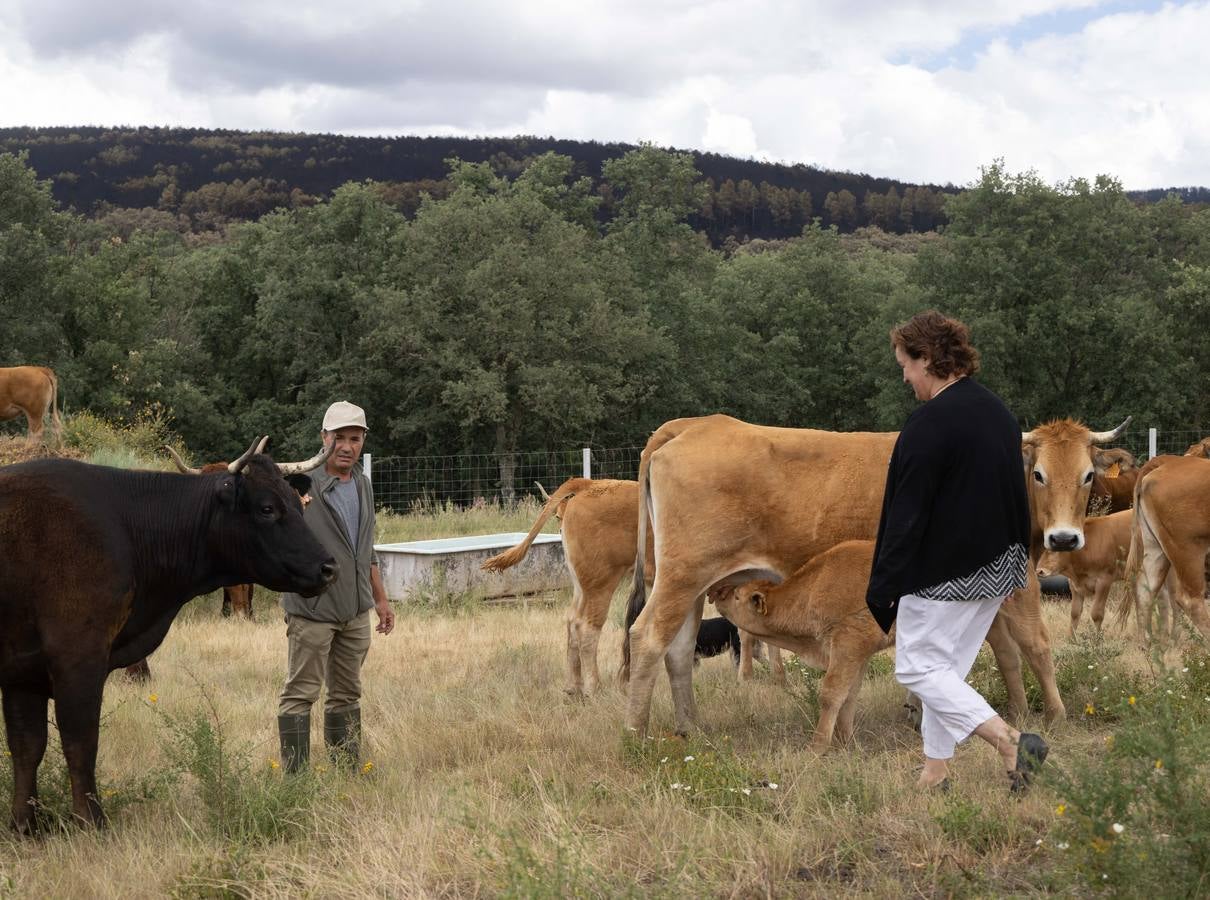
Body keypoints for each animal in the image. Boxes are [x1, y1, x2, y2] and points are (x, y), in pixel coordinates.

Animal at [624, 413, 1132, 740]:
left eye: (1088, 475)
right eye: (1040, 474)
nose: (1064, 539)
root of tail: (693, 425)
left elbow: (999, 650)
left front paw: (1006, 710)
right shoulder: (1015, 577)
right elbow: (1034, 644)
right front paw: (1055, 714)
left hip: (690, 583)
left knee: (678, 649)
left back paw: (690, 728)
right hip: (682, 577)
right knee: (648, 638)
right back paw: (636, 733)